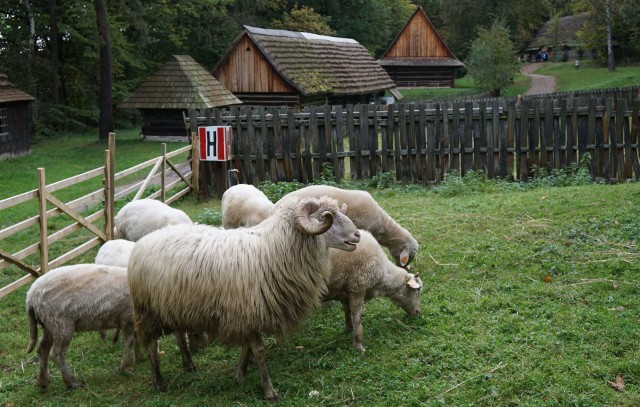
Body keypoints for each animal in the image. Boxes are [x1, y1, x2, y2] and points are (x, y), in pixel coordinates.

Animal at [127, 195, 362, 402]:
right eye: (326, 217)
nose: (357, 235)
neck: (274, 249)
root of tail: (143, 241)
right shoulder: (248, 311)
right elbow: (259, 351)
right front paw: (268, 390)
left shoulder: (246, 316)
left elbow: (246, 348)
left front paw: (240, 374)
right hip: (147, 310)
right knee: (151, 346)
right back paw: (158, 381)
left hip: (173, 305)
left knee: (179, 334)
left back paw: (189, 364)